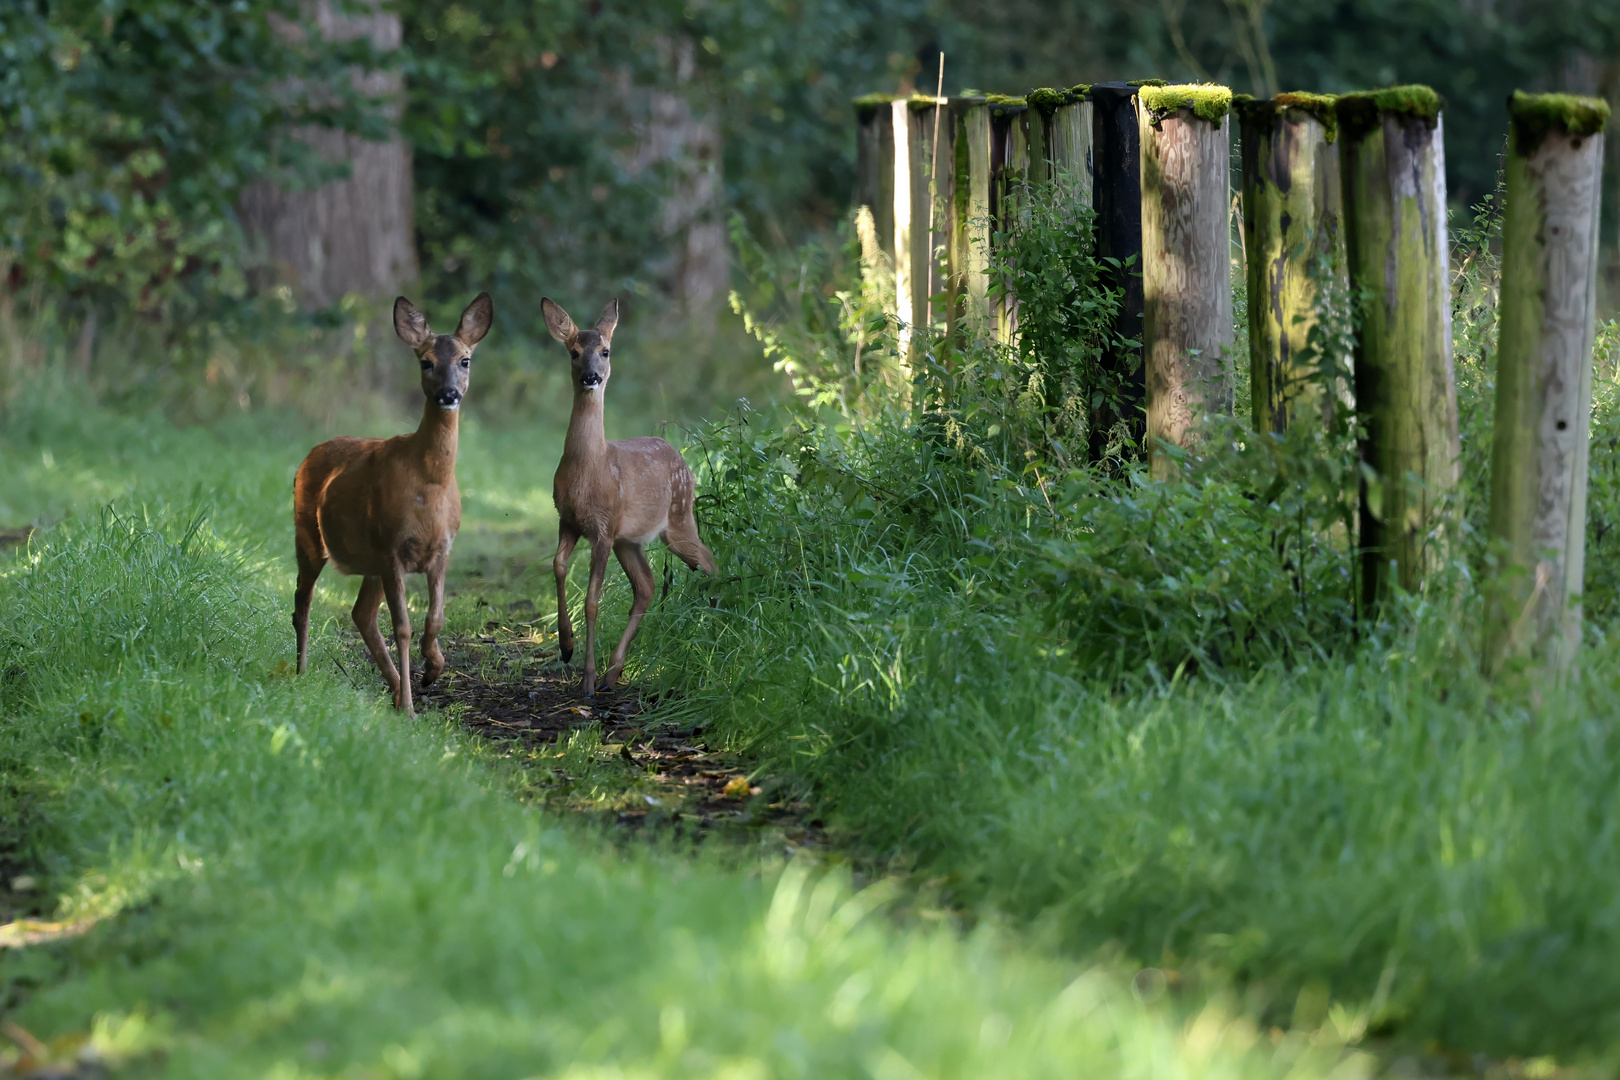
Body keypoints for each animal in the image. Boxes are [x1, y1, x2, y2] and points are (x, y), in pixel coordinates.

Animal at [291, 296, 492, 718]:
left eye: (465, 360)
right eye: (426, 362)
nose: (449, 393)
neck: (430, 486)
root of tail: (307, 457)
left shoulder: (442, 549)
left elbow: (436, 617)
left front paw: (433, 669)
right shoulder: (391, 548)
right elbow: (402, 628)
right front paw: (413, 708)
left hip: (369, 561)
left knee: (361, 614)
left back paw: (397, 688)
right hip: (310, 536)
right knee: (304, 602)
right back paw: (302, 672)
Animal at [544, 297, 716, 702]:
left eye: (605, 350)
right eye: (574, 352)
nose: (591, 376)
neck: (590, 467)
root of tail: (682, 460)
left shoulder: (603, 528)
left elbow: (592, 601)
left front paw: (586, 679)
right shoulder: (568, 519)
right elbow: (557, 566)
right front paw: (566, 645)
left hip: (678, 519)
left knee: (709, 561)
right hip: (630, 540)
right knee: (648, 585)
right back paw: (614, 672)